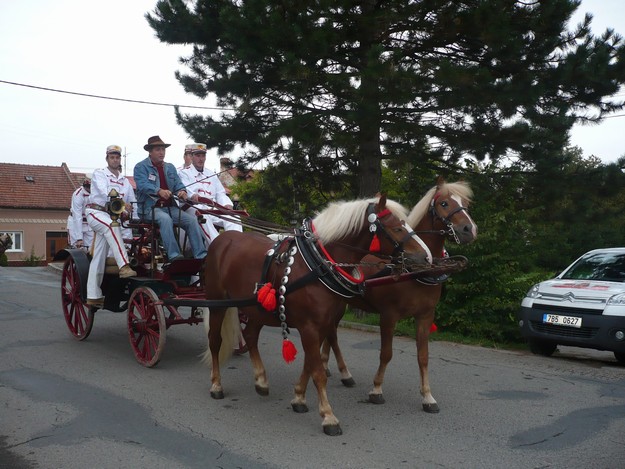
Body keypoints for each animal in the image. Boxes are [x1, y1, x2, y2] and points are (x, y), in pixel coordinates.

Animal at [202, 194, 432, 436]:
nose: (425, 257)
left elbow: (310, 364)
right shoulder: (310, 327)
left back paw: (261, 381)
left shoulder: (322, 324)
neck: (317, 265)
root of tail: (223, 238)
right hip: (217, 303)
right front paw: (328, 417)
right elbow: (318, 372)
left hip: (257, 310)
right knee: (215, 341)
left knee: (251, 336)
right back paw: (216, 384)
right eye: (396, 227)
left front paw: (299, 398)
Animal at [322, 181, 478, 412]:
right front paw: (376, 389)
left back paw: (330, 368)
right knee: (331, 334)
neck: (416, 271)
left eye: (465, 203)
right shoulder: (389, 315)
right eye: (444, 203)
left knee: (329, 332)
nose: (470, 230)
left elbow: (423, 356)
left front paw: (428, 397)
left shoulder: (425, 316)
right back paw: (341, 372)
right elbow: (386, 353)